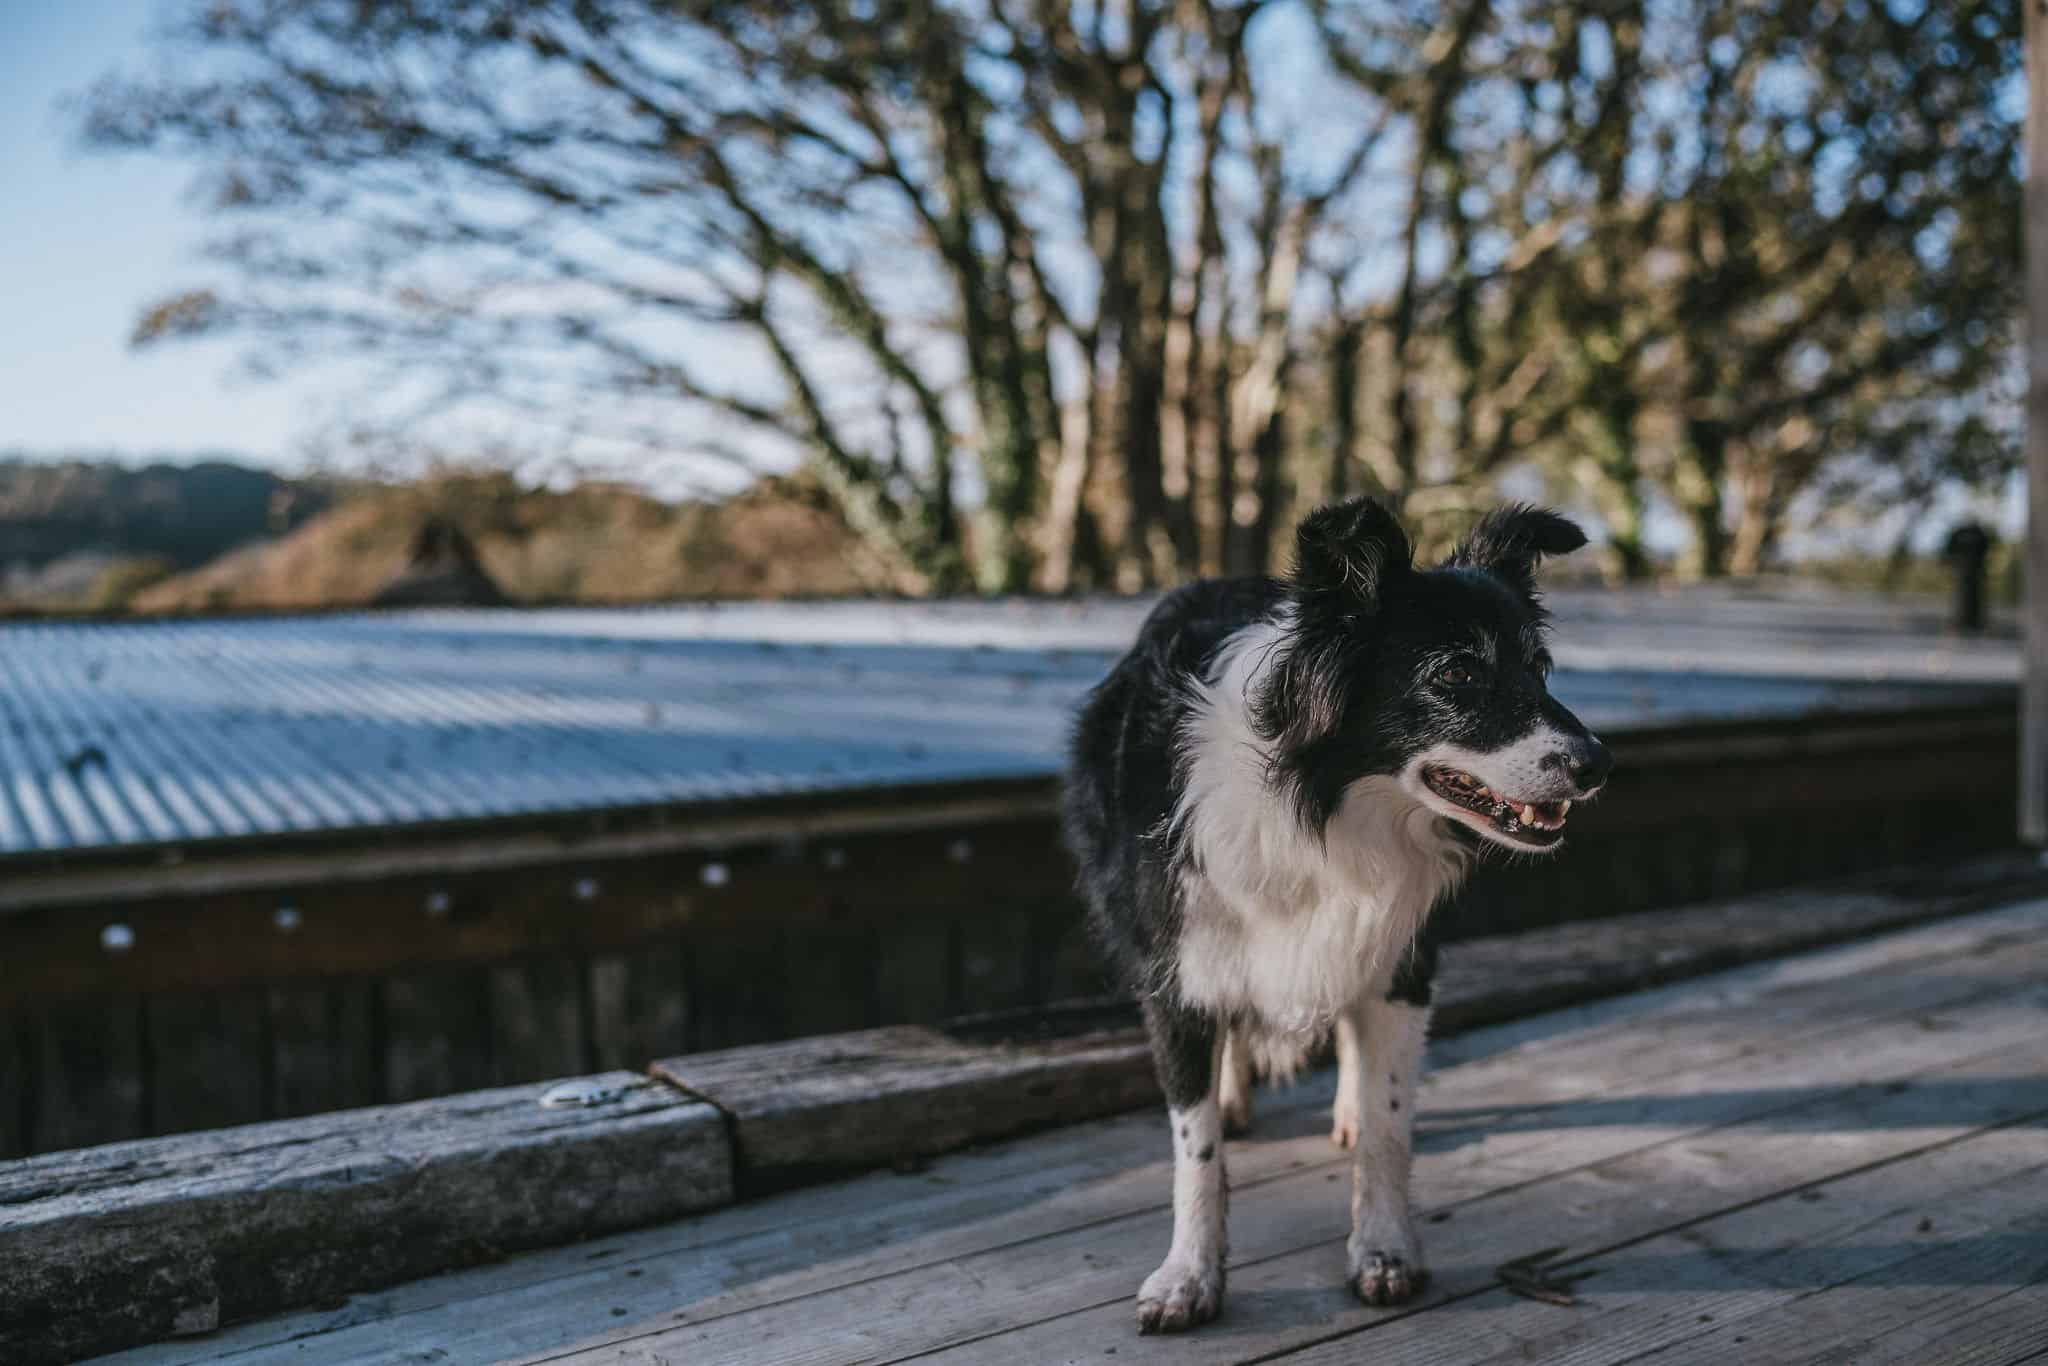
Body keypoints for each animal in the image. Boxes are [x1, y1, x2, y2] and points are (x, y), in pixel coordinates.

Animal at [1064, 497, 1605, 1327]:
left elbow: (1389, 1120)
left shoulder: (1402, 954)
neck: (1323, 809)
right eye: (1457, 673)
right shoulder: (1176, 974)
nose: (1597, 764)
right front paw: (1189, 1274)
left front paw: (1383, 1250)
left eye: (1539, 668)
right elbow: (1195, 1149)